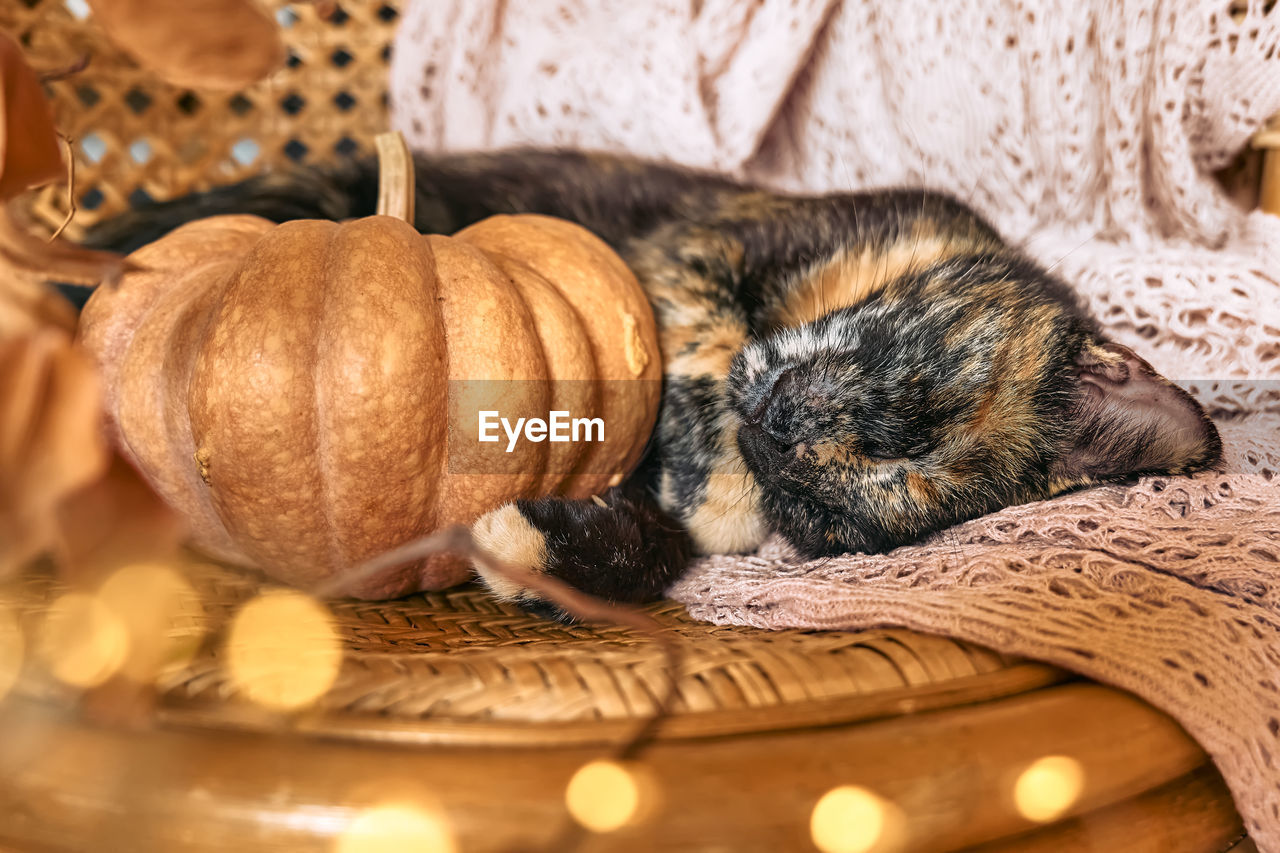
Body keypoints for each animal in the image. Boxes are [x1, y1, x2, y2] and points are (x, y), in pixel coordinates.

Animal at [85, 151, 1223, 617]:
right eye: (905, 403)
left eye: (824, 522)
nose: (777, 432)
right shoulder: (697, 249)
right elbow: (706, 343)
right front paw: (711, 478)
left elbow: (646, 549)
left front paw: (542, 546)